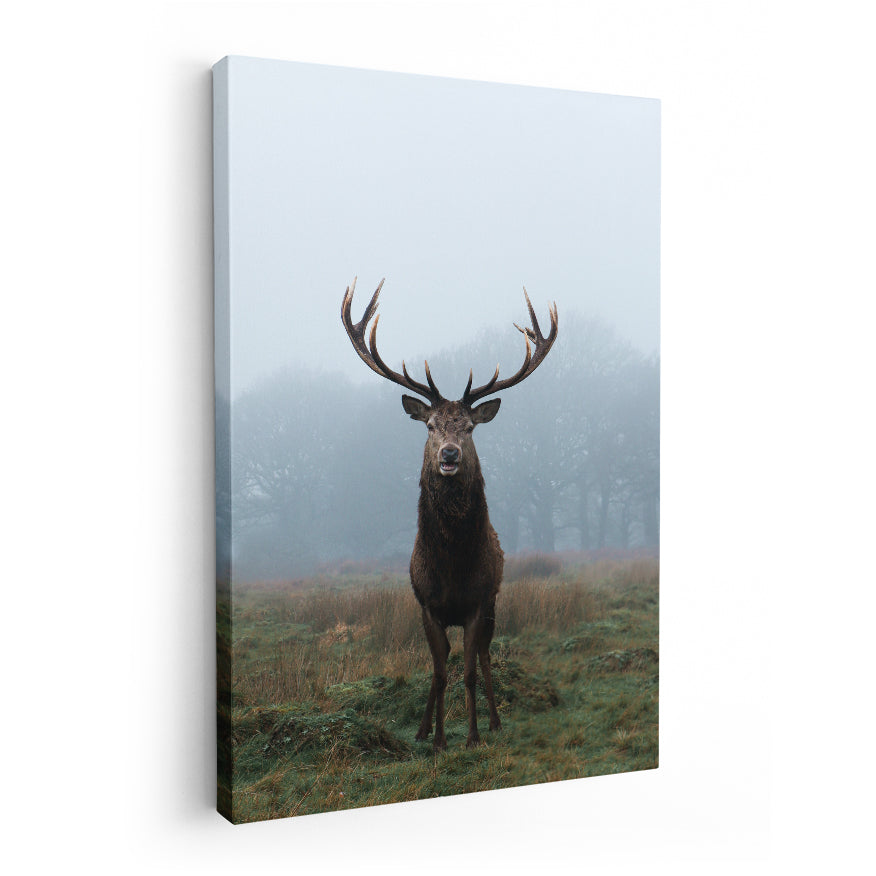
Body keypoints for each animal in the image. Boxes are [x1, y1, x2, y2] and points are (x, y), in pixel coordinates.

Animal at [341, 278, 558, 749]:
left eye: (470, 428)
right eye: (429, 426)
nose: (449, 455)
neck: (453, 566)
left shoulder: (478, 602)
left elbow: (471, 672)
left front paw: (473, 735)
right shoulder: (427, 606)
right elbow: (440, 673)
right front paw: (439, 739)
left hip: (495, 604)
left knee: (486, 657)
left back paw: (495, 722)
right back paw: (423, 729)